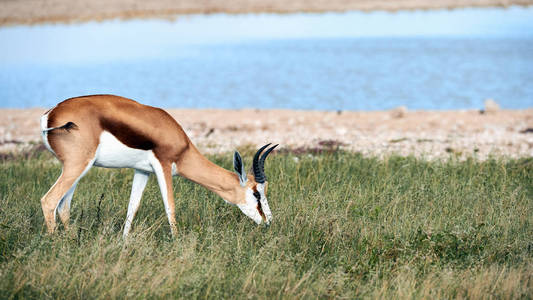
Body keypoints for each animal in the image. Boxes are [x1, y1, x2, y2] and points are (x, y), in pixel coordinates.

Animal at [39, 94, 276, 237]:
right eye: (256, 193)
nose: (268, 221)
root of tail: (50, 114)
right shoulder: (164, 165)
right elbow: (170, 206)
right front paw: (177, 241)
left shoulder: (142, 171)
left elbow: (132, 207)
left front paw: (124, 242)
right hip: (77, 165)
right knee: (49, 200)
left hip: (77, 169)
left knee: (64, 206)